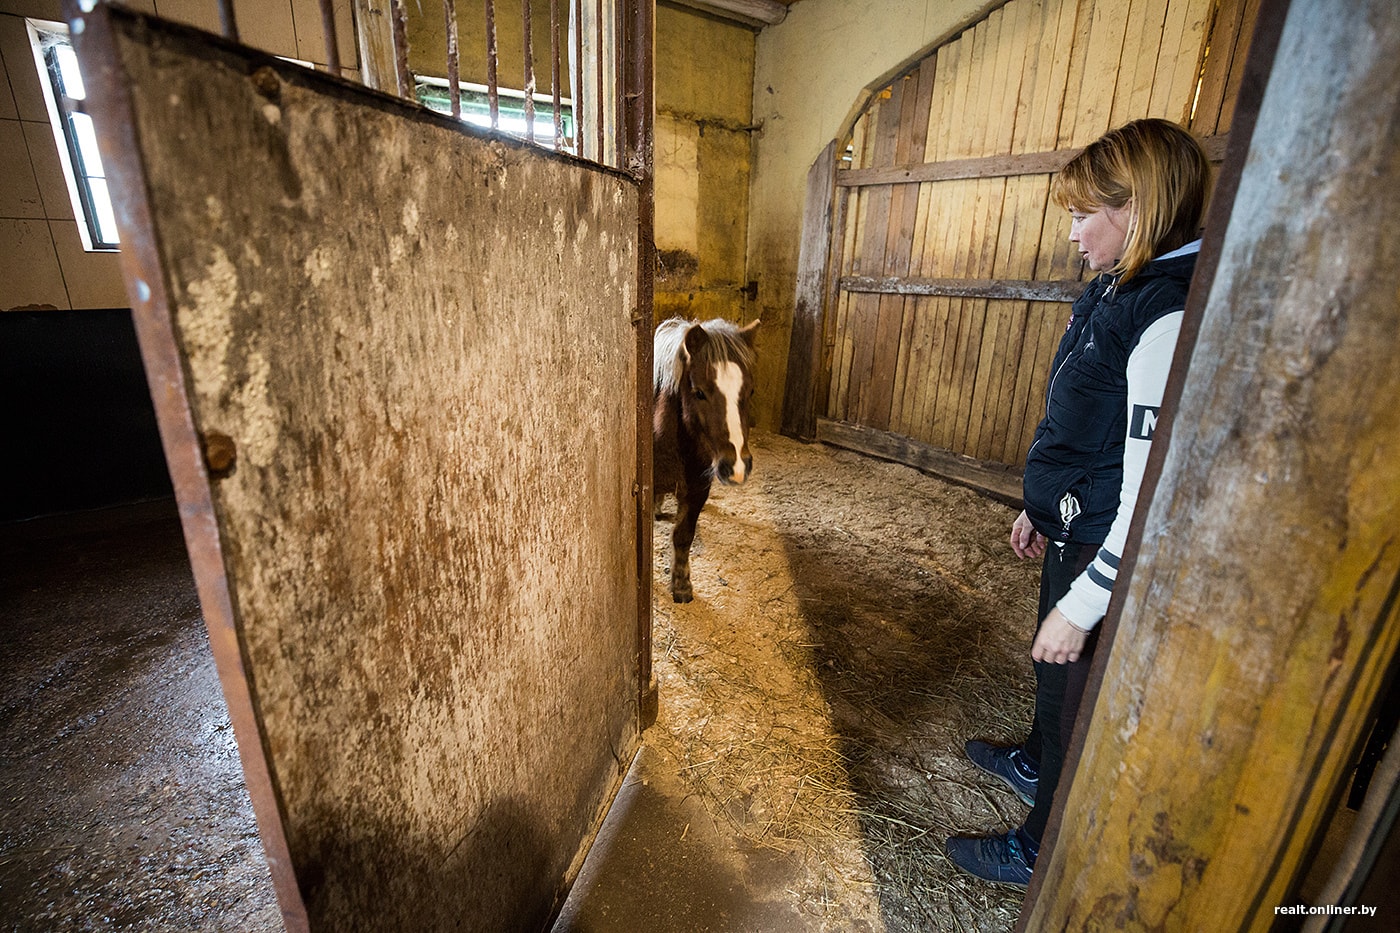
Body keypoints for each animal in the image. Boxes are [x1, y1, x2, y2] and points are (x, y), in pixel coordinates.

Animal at [652, 316, 761, 599]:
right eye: (699, 392)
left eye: (750, 391)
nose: (737, 466)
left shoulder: (697, 492)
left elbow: (683, 535)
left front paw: (681, 585)